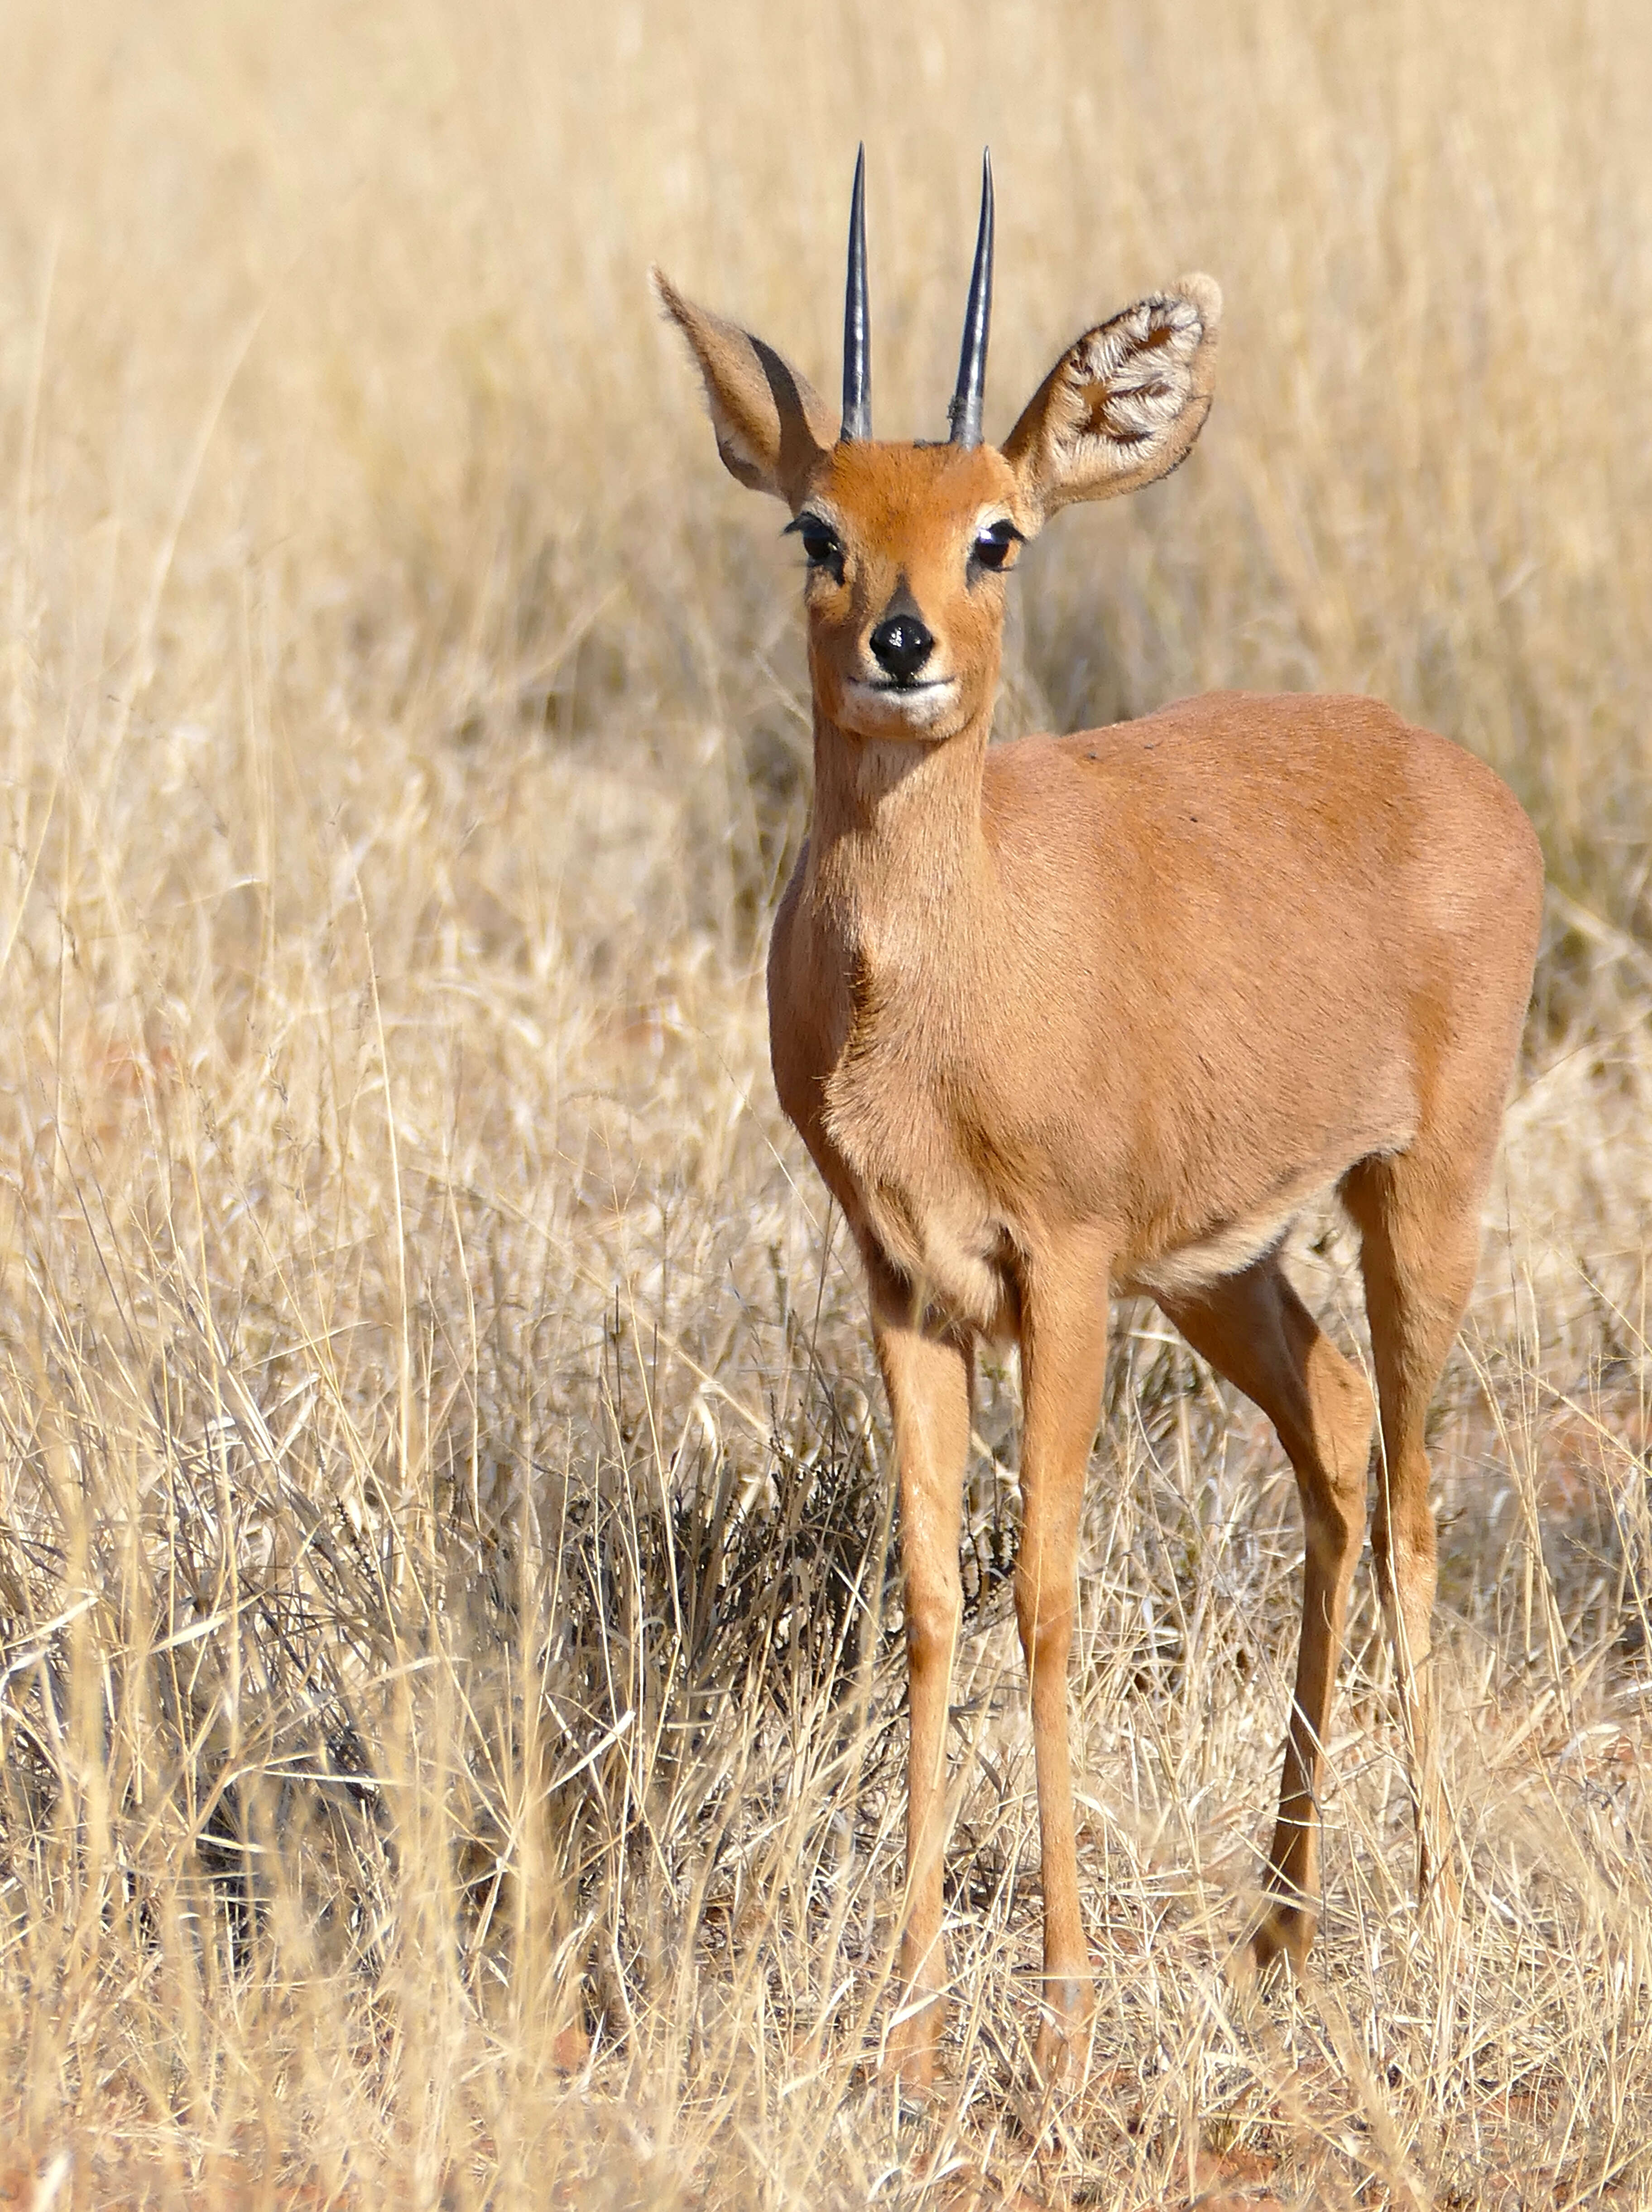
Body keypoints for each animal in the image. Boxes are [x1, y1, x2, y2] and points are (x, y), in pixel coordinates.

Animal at [654, 147, 1548, 2079]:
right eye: (816, 526)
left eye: (998, 529)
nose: (902, 643)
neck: (945, 984)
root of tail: (1451, 767)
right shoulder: (905, 1283)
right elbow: (929, 1599)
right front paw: (909, 2006)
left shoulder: (1058, 1277)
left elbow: (1045, 1596)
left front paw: (1059, 2007)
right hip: (1220, 1271)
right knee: (1337, 1441)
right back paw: (1275, 1922)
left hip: (1415, 1196)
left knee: (1417, 1492)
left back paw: (1439, 1908)